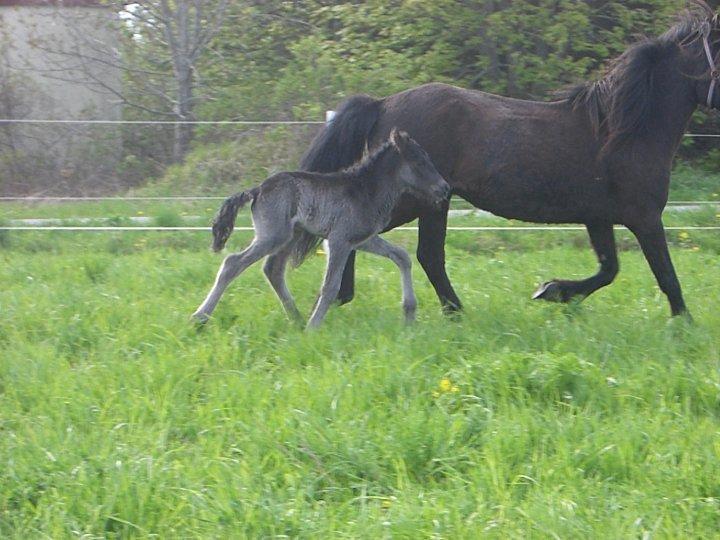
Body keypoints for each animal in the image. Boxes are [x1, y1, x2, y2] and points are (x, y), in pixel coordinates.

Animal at [191, 129, 450, 326]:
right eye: (419, 161)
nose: (444, 188)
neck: (365, 190)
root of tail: (257, 189)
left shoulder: (363, 239)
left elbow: (402, 256)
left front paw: (409, 313)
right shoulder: (339, 240)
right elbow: (330, 286)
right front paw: (314, 327)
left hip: (291, 237)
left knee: (273, 270)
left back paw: (296, 319)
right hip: (273, 236)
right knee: (232, 263)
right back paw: (200, 318)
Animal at [300, 2, 720, 318]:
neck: (623, 131)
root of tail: (383, 104)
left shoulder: (598, 216)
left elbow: (609, 270)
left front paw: (553, 291)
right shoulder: (644, 217)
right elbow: (666, 277)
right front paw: (684, 326)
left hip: (432, 202)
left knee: (420, 254)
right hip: (417, 200)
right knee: (389, 243)